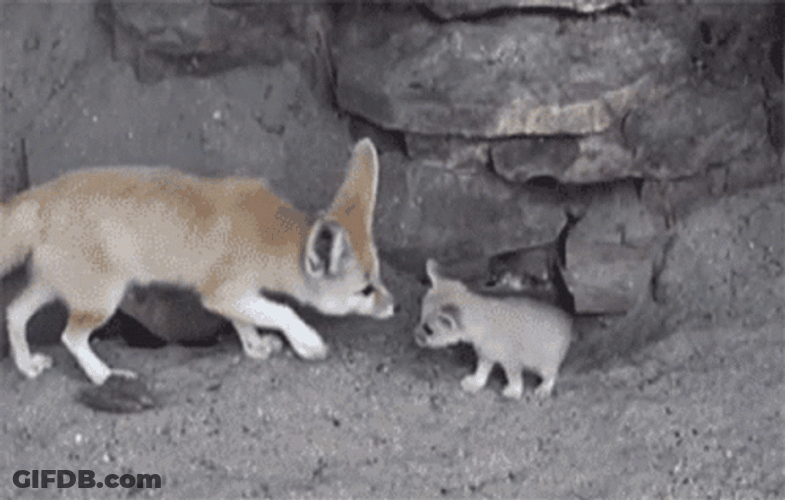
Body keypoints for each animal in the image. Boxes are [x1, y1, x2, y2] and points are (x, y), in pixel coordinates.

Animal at [1, 138, 395, 385]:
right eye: (365, 290)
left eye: (379, 279)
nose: (395, 306)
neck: (272, 235)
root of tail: (44, 193)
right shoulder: (220, 293)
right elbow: (281, 311)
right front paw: (308, 342)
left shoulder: (233, 295)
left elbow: (245, 321)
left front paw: (255, 346)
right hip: (102, 300)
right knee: (70, 337)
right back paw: (103, 376)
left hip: (54, 286)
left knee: (14, 312)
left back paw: (27, 365)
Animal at [415, 259, 572, 400]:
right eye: (420, 317)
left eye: (428, 330)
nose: (415, 337)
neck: (482, 322)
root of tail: (568, 320)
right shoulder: (486, 355)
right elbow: (482, 372)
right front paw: (475, 383)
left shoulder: (512, 360)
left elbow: (514, 378)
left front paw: (514, 392)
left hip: (544, 364)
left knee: (552, 375)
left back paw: (544, 389)